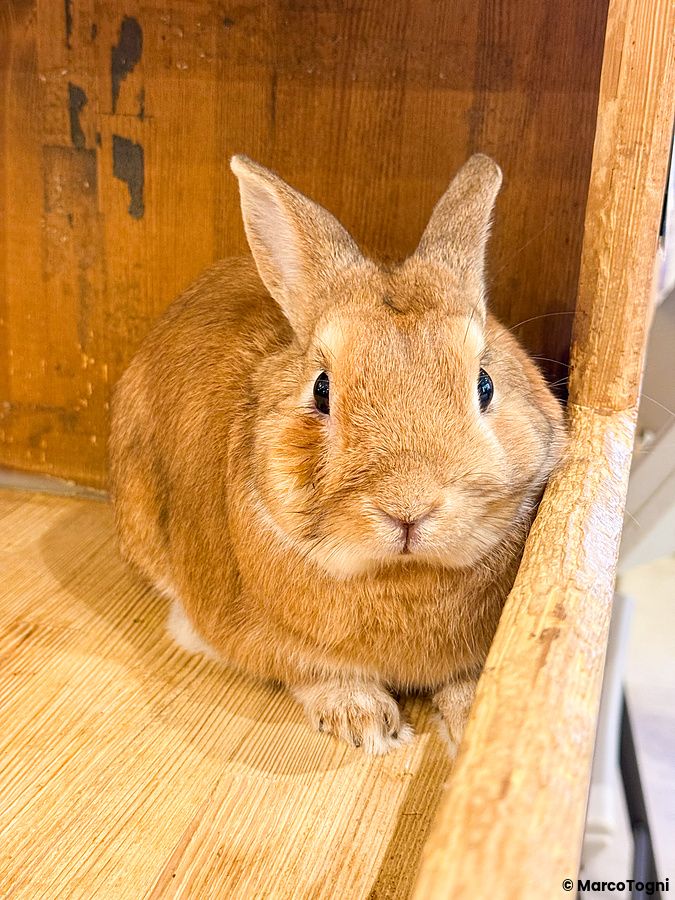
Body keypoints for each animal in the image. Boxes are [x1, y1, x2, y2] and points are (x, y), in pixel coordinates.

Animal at [108, 153, 567, 756]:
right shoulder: (279, 648)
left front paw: (473, 719)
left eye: (485, 385)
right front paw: (367, 723)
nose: (408, 509)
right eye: (321, 390)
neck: (403, 577)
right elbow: (316, 674)